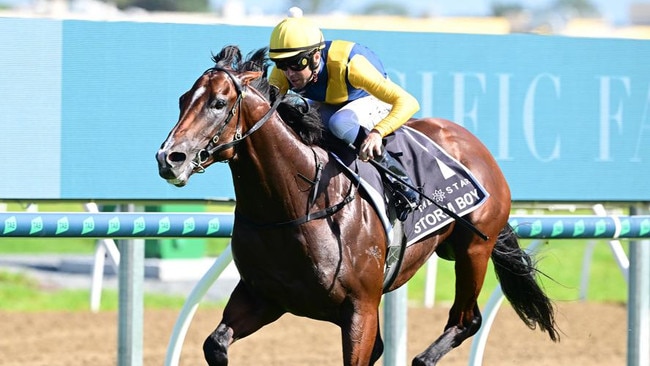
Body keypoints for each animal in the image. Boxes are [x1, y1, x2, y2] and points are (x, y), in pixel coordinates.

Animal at [156, 46, 556, 366]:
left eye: (218, 103)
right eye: (181, 100)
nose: (169, 158)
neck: (295, 206)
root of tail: (473, 143)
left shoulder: (360, 309)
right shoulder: (264, 297)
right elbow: (215, 344)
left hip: (474, 248)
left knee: (466, 320)